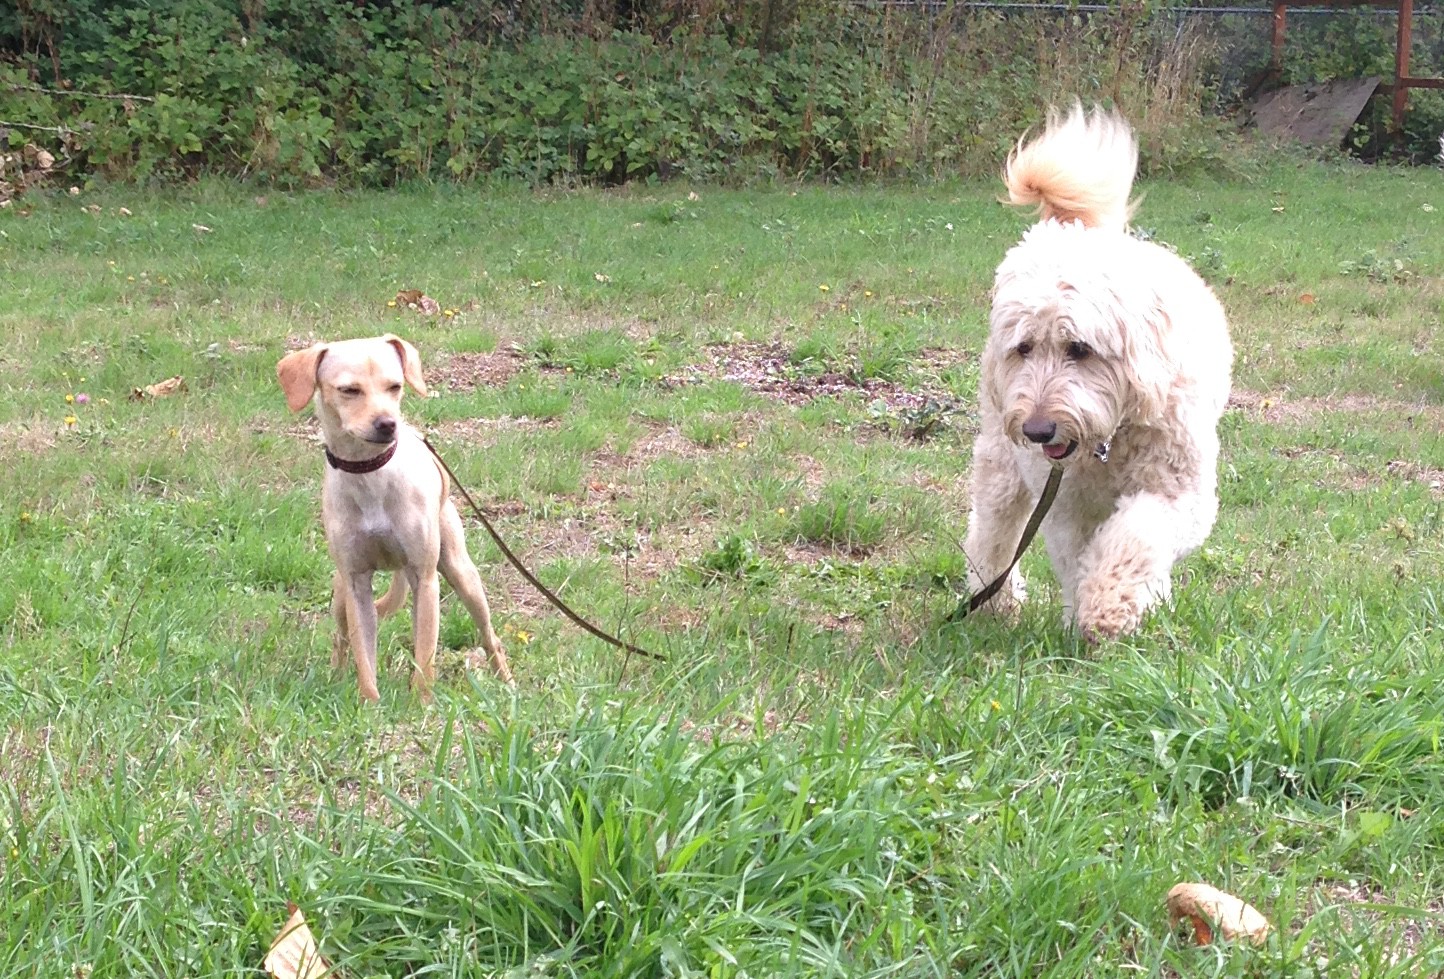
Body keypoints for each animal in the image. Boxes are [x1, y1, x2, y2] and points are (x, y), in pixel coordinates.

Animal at [277, 334, 513, 701]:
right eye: (349, 390)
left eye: (395, 386)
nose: (388, 424)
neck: (369, 473)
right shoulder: (356, 584)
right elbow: (364, 657)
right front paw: (369, 704)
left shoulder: (425, 579)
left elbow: (425, 656)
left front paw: (422, 704)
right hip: (339, 593)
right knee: (341, 640)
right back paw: (335, 677)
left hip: (462, 574)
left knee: (490, 637)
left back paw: (507, 683)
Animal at [962, 103, 1233, 640]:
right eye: (1024, 348)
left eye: (1080, 348)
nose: (1038, 430)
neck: (1111, 438)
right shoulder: (1066, 507)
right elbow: (1077, 560)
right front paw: (1084, 613)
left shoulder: (1180, 494)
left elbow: (1137, 535)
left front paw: (1110, 605)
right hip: (1002, 462)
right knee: (992, 532)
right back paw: (994, 602)